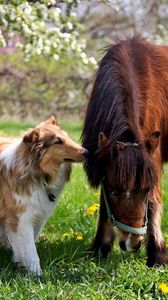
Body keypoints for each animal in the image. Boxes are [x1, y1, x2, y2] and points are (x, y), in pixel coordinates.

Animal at [0, 116, 88, 274]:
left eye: (66, 136)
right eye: (58, 141)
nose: (87, 152)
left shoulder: (38, 215)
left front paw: (21, 264)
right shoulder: (21, 218)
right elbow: (30, 250)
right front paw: (37, 274)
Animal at [82, 36, 168, 266]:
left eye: (145, 190)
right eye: (113, 190)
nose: (132, 244)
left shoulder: (153, 158)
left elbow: (154, 202)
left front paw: (157, 254)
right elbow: (105, 206)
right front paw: (100, 248)